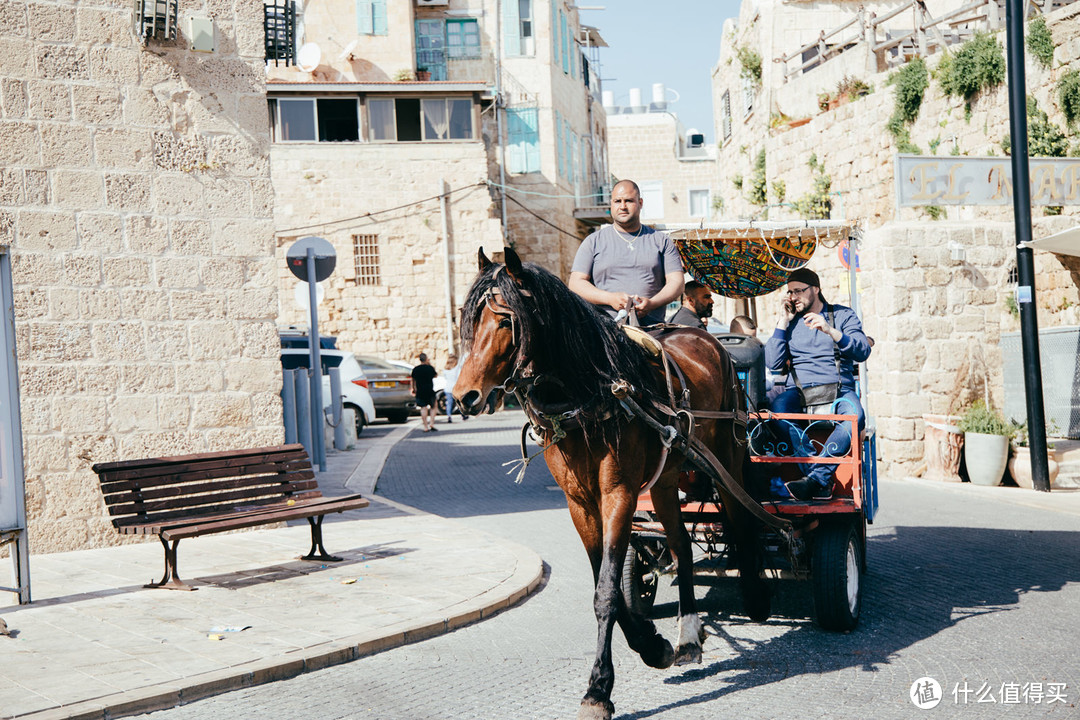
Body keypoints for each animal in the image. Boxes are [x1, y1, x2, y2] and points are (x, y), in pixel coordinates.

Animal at [451, 249, 773, 720]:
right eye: (467, 320)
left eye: (506, 320)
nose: (464, 396)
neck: (588, 394)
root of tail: (713, 342)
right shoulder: (580, 505)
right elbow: (611, 586)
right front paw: (653, 645)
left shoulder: (617, 495)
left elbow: (605, 592)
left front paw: (599, 689)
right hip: (665, 479)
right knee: (680, 544)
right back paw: (688, 635)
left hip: (727, 456)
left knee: (742, 519)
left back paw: (754, 596)